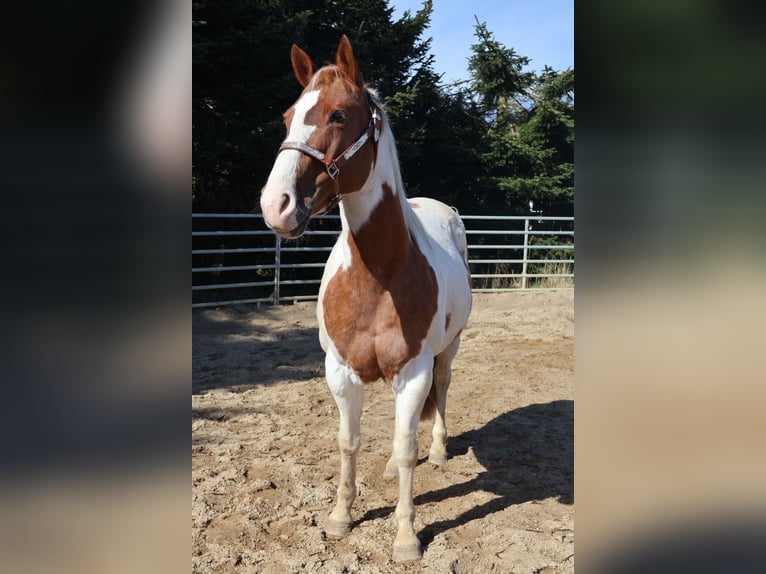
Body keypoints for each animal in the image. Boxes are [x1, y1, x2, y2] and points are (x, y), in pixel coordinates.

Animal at [260, 35, 472, 563]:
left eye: (338, 114)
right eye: (288, 115)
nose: (276, 205)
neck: (378, 278)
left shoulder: (414, 372)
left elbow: (406, 446)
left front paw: (406, 537)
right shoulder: (339, 370)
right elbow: (349, 440)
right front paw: (340, 516)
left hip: (448, 350)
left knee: (440, 393)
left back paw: (438, 450)